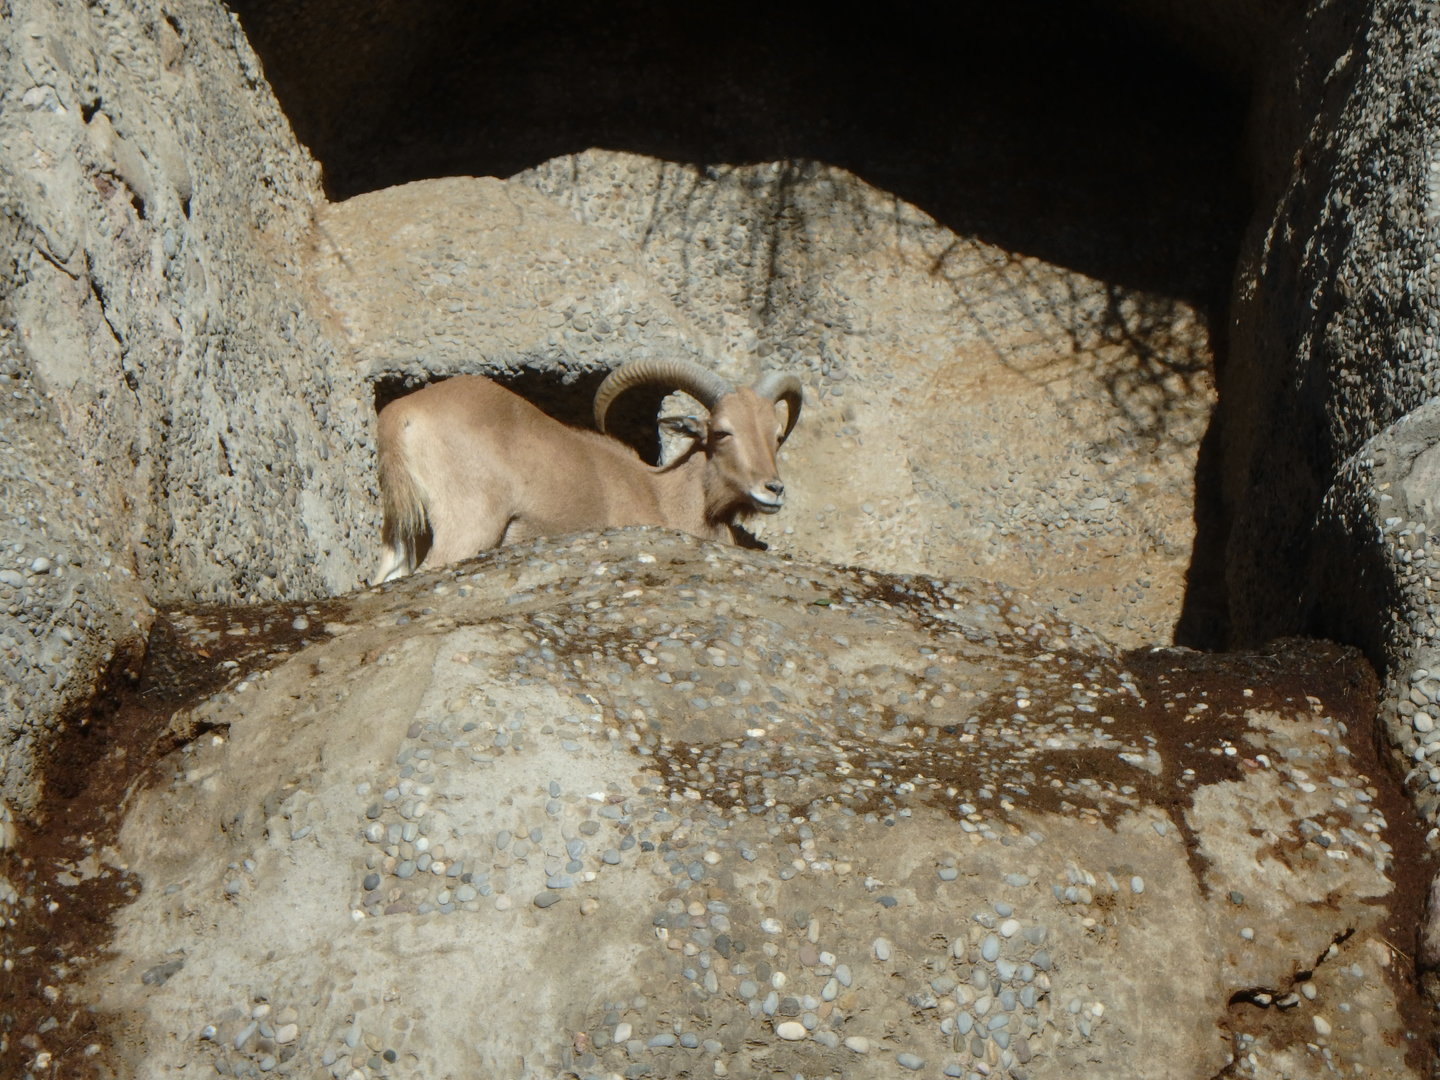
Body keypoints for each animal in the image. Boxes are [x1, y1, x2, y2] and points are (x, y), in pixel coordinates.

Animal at [370, 357, 803, 583]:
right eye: (723, 431)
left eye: (776, 434)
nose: (773, 489)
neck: (665, 495)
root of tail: (399, 416)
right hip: (468, 524)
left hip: (403, 533)